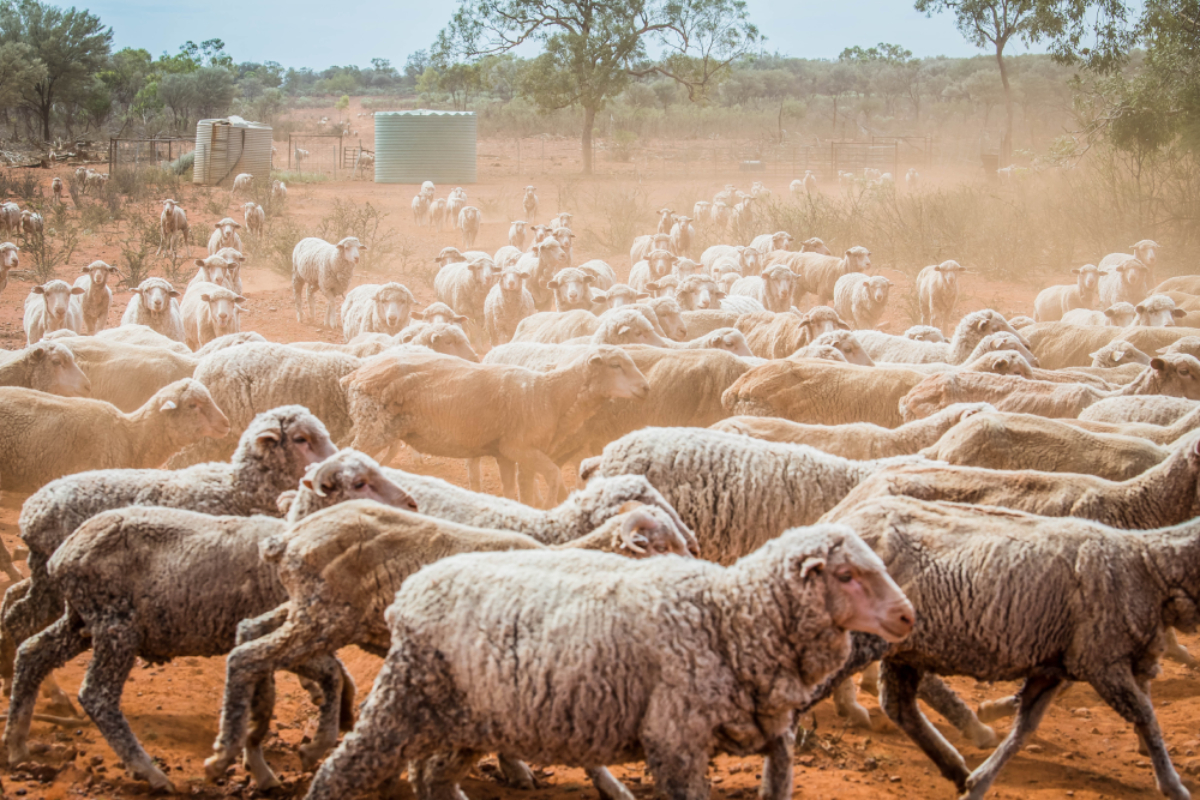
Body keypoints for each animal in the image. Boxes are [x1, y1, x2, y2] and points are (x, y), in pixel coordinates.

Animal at [207, 498, 700, 790]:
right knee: (247, 657)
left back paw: (260, 749)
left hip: (306, 609)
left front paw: (513, 769)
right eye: (660, 545)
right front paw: (610, 787)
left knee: (248, 634)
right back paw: (228, 752)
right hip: (326, 617)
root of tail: (287, 538)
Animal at [299, 522, 911, 800]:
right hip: (402, 704)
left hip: (466, 721)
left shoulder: (767, 730)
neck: (729, 615)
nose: (907, 616)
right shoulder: (674, 740)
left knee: (431, 775)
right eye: (846, 575)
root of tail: (410, 592)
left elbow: (779, 779)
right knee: (342, 770)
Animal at [343, 347, 648, 503]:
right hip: (373, 430)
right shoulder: (521, 448)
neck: (550, 396)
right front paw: (551, 507)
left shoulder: (507, 455)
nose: (645, 387)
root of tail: (357, 375)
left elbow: (516, 492)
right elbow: (552, 477)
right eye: (615, 365)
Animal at [825, 496, 1196, 800]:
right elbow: (1146, 716)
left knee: (899, 705)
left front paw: (979, 782)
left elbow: (1024, 728)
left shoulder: (1055, 666)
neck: (1148, 565)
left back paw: (957, 768)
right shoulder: (1102, 660)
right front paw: (1173, 786)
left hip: (906, 648)